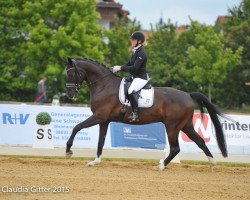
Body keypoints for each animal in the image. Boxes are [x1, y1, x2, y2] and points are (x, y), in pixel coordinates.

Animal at [65, 57, 228, 170]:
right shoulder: (104, 120)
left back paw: (160, 166)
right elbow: (100, 141)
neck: (104, 85)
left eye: (71, 74)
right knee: (200, 141)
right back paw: (213, 164)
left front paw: (68, 150)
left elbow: (77, 127)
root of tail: (187, 94)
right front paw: (95, 161)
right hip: (185, 126)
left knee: (175, 148)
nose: (70, 95)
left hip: (172, 127)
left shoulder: (99, 116)